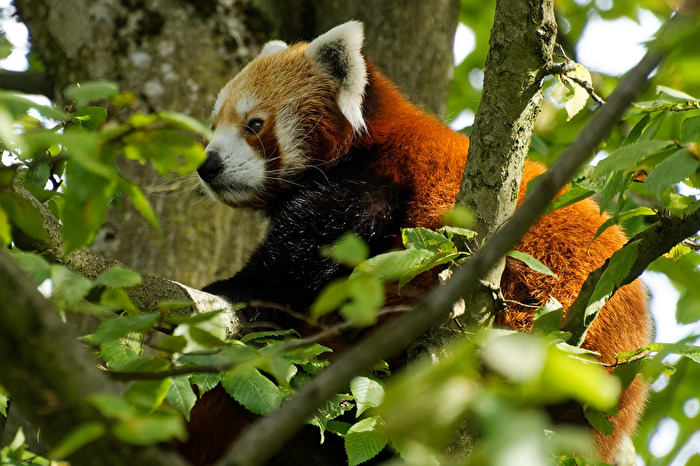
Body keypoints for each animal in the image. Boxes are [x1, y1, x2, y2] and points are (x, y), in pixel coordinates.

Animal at [185, 20, 650, 465]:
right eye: (213, 127)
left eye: (254, 125)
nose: (208, 165)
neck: (364, 141)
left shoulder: (378, 182)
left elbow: (301, 258)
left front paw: (233, 289)